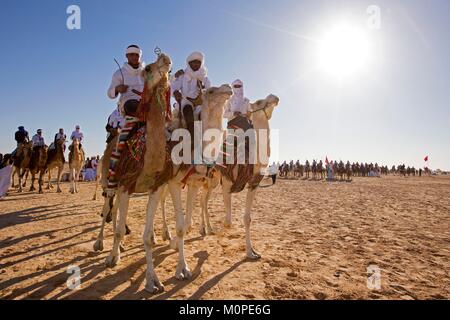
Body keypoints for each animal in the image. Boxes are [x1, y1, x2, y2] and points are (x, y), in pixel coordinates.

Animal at [220, 94, 280, 258]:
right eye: (259, 102)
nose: (274, 97)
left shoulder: (254, 183)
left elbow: (247, 218)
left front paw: (251, 252)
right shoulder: (226, 180)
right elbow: (228, 221)